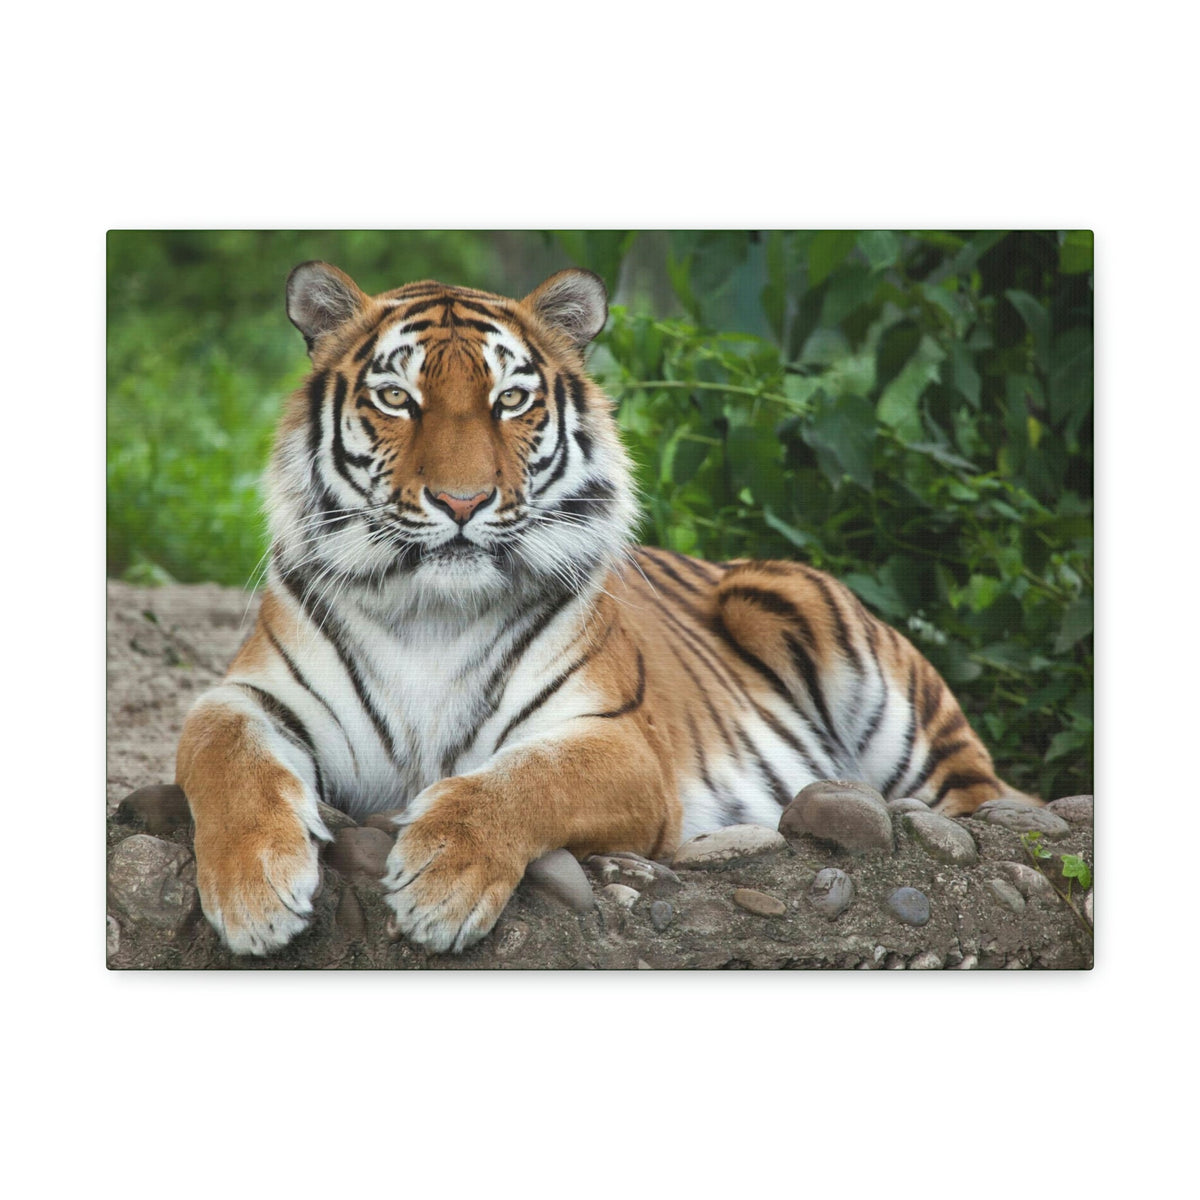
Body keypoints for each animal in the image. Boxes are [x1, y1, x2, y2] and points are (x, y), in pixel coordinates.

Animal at [175, 261, 1038, 956]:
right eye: (396, 398)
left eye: (510, 401)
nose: (462, 502)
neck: (430, 614)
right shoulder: (251, 696)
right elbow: (224, 753)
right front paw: (255, 894)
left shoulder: (620, 744)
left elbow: (523, 781)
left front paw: (441, 881)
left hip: (825, 637)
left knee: (986, 798)